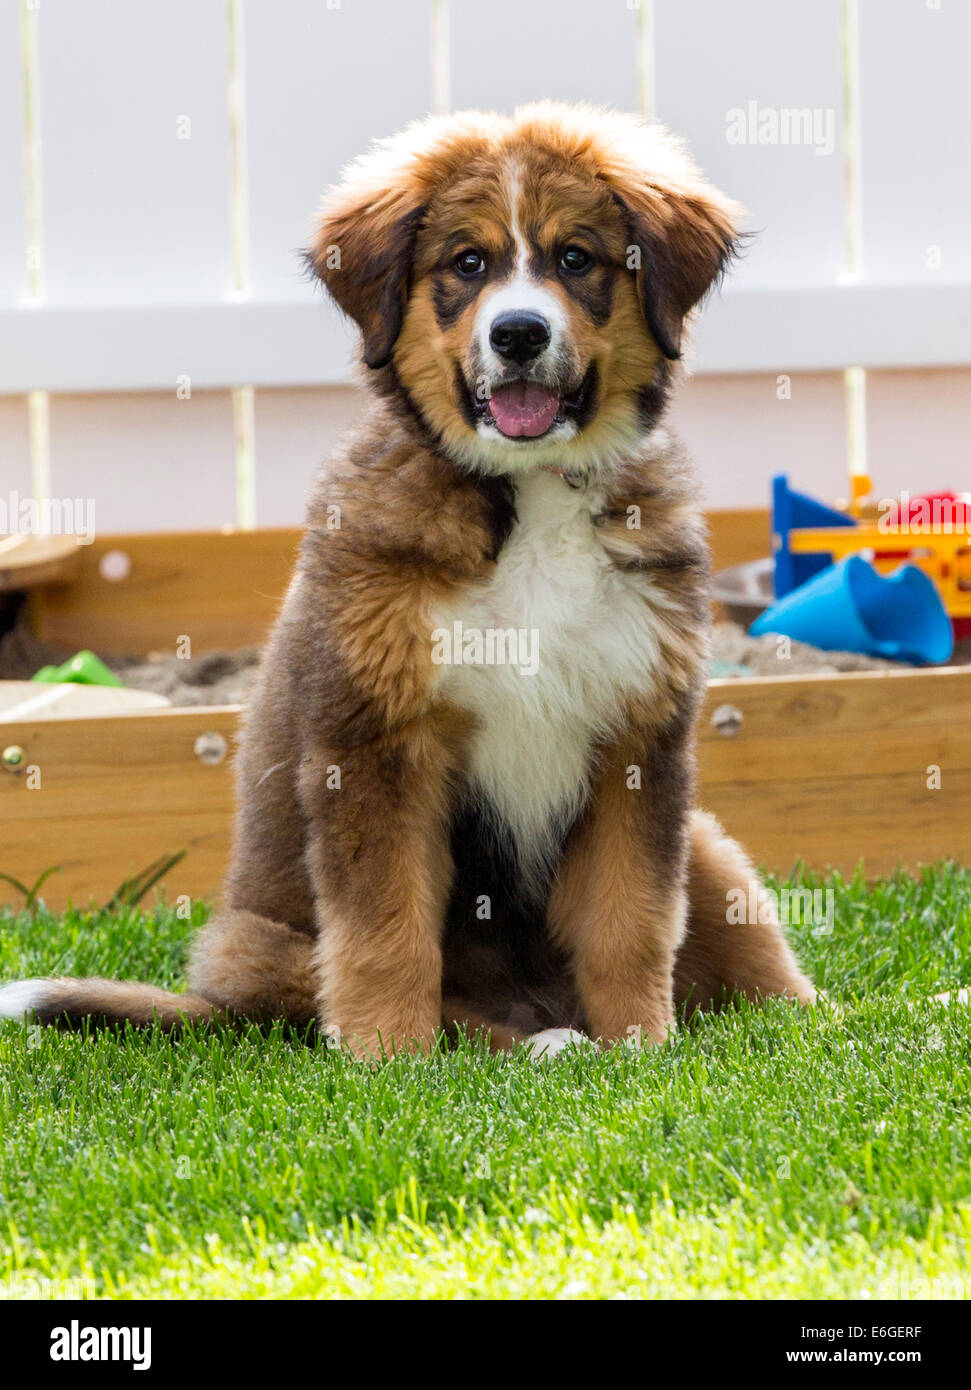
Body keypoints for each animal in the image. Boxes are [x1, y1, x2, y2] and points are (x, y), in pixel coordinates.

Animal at [3, 102, 816, 1056]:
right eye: (466, 264)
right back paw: (537, 1046)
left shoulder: (638, 742)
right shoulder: (377, 743)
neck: (527, 497)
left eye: (575, 258)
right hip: (266, 947)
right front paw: (387, 1059)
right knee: (459, 1019)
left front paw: (641, 1049)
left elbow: (632, 917)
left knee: (760, 959)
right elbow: (387, 926)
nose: (517, 334)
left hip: (705, 839)